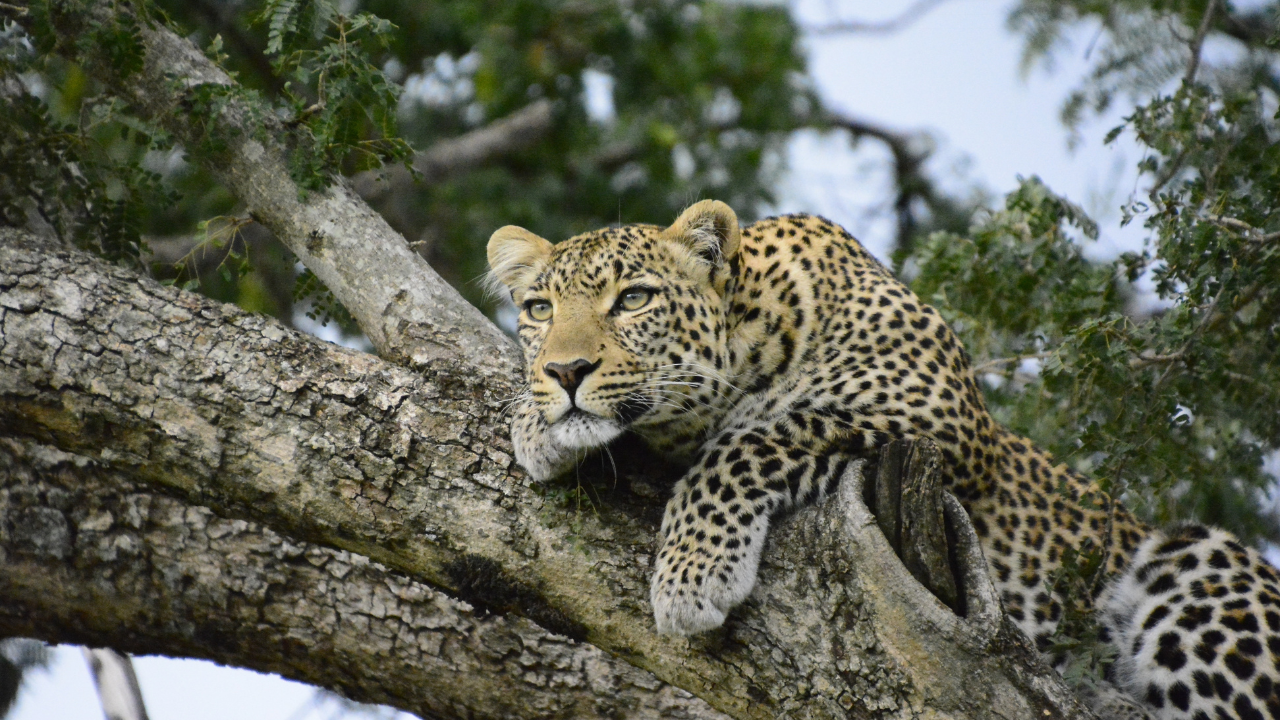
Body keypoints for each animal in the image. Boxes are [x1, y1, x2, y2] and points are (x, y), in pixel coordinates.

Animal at [486, 197, 1280, 717]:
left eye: (634, 299)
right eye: (538, 311)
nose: (565, 371)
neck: (756, 327)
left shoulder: (937, 419)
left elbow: (755, 438)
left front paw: (692, 571)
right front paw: (535, 421)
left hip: (1198, 564)